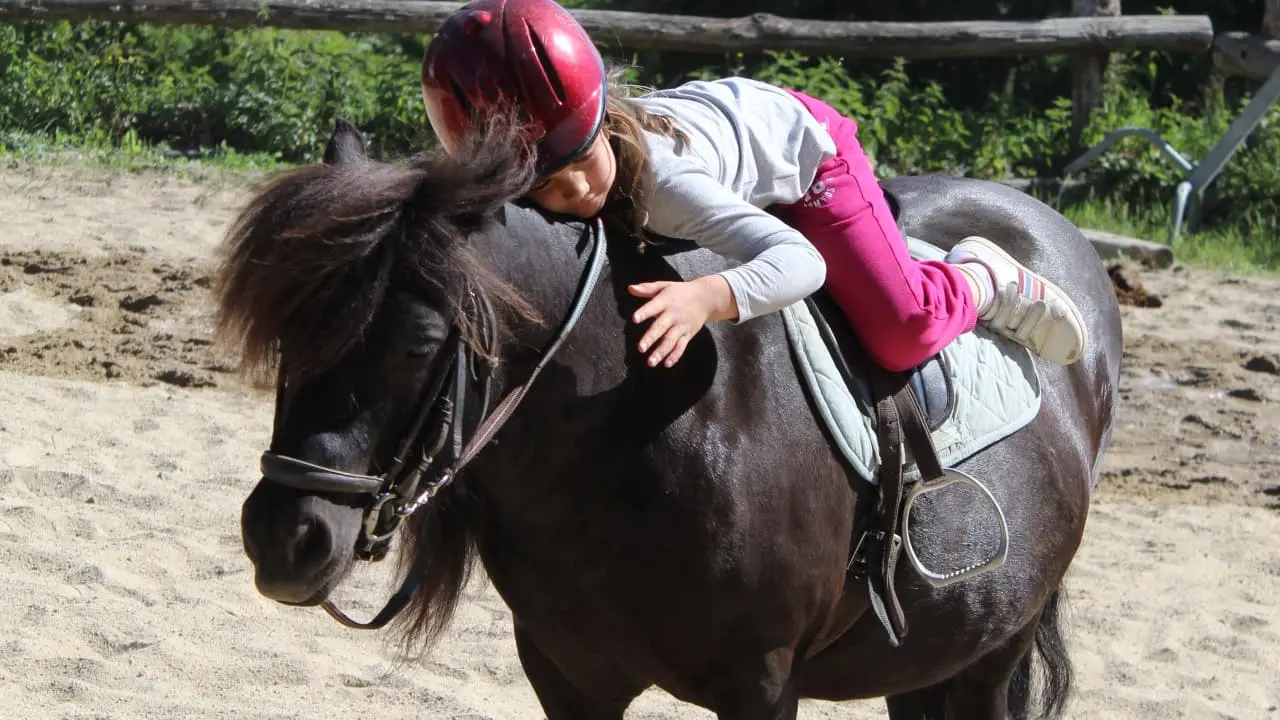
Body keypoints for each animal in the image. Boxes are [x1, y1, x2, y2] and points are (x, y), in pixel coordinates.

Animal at [217, 119, 1121, 717]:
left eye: (419, 344)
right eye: (286, 337)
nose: (284, 538)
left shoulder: (761, 687)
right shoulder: (567, 674)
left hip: (992, 654)